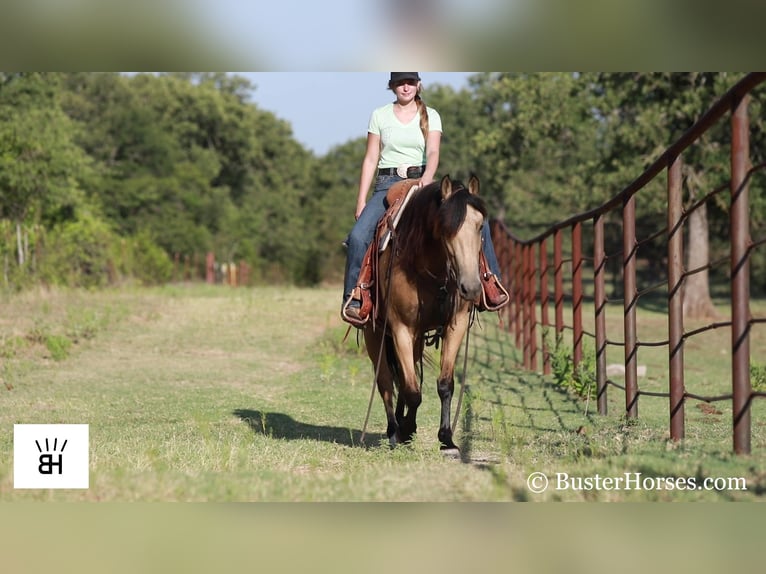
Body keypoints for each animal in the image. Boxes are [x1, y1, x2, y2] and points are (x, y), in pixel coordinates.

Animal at [364, 173, 486, 452]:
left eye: (480, 226)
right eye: (446, 228)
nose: (472, 288)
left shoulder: (455, 325)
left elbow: (444, 384)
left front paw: (446, 438)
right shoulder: (400, 329)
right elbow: (411, 390)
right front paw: (406, 430)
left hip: (417, 338)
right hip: (374, 334)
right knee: (386, 381)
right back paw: (394, 430)